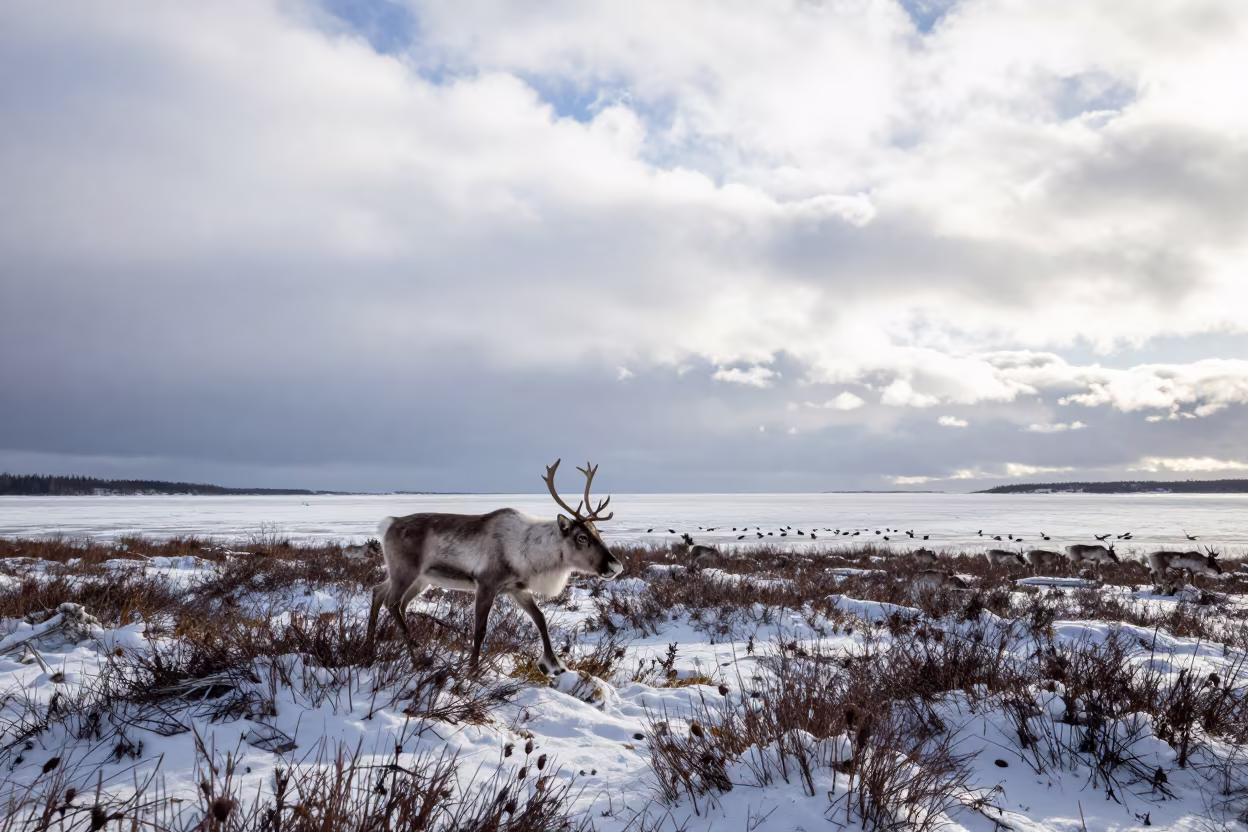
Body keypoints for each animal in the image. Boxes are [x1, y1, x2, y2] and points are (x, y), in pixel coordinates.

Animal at [365, 459, 624, 675]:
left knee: (381, 593)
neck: (528, 551)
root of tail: (389, 524)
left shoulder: (517, 589)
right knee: (392, 601)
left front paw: (555, 664)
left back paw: (372, 650)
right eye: (582, 537)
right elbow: (480, 629)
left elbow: (540, 619)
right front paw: (473, 671)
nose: (616, 565)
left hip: (418, 578)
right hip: (405, 571)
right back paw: (417, 653)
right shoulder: (486, 584)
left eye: (597, 532)